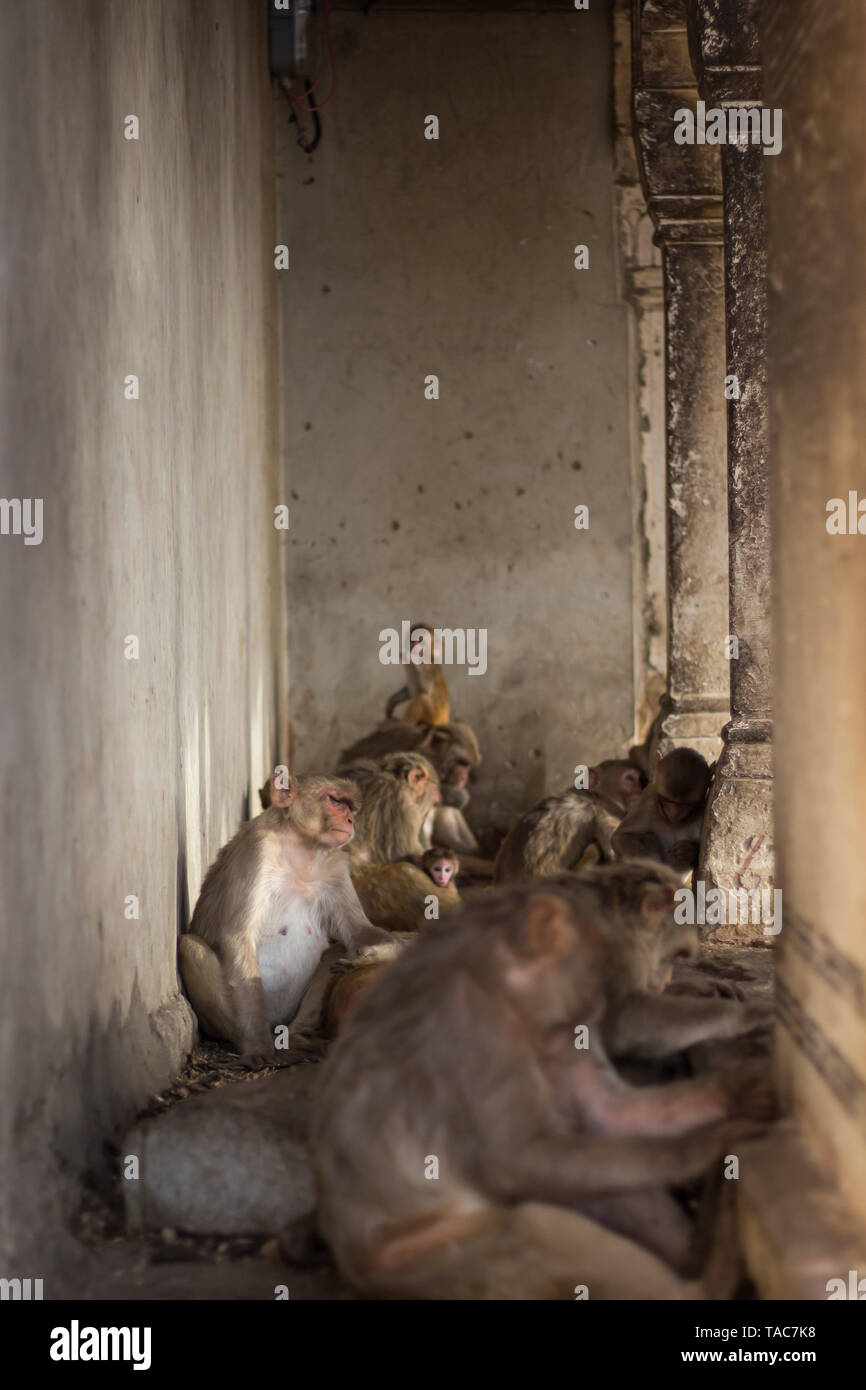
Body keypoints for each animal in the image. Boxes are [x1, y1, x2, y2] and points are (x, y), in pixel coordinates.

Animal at [178, 775, 390, 1068]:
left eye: (350, 807)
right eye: (336, 801)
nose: (350, 820)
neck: (302, 849)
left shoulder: (335, 865)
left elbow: (360, 932)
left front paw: (373, 955)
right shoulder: (257, 850)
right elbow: (236, 936)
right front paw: (256, 1046)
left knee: (335, 950)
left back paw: (298, 1036)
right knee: (190, 947)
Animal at [311, 886, 765, 1300]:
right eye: (601, 978)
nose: (593, 1021)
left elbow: (608, 1114)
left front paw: (747, 1084)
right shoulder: (477, 1039)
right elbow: (517, 1160)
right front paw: (718, 1140)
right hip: (433, 1255)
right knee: (529, 1221)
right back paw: (709, 1267)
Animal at [493, 760, 645, 883]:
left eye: (640, 780)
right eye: (630, 778)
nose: (640, 790)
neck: (596, 795)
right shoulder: (604, 814)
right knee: (593, 850)